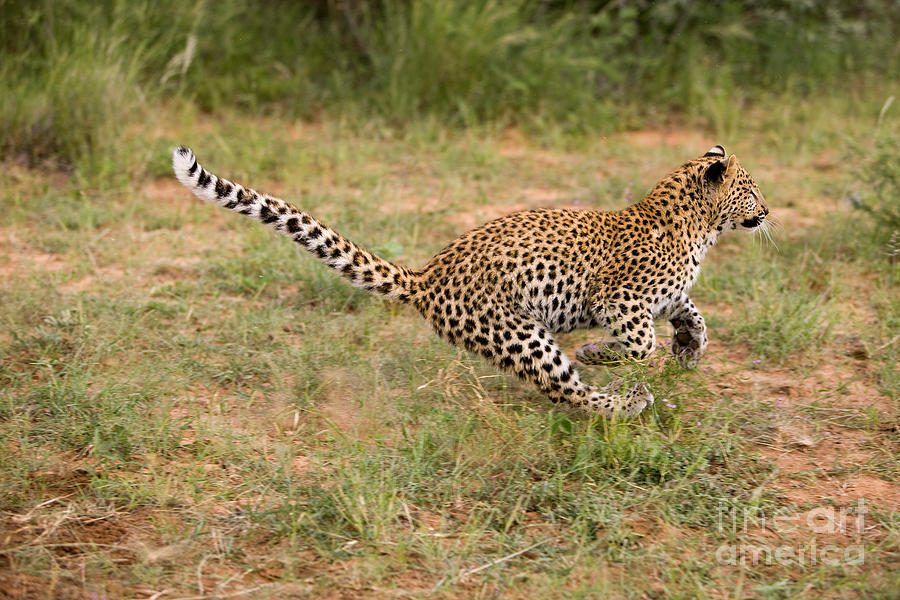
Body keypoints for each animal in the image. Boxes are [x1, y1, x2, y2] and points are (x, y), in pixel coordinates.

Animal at [174, 145, 768, 418]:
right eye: (752, 190)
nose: (768, 212)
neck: (700, 227)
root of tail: (426, 277)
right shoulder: (620, 300)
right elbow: (640, 346)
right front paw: (605, 355)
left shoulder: (662, 298)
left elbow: (693, 314)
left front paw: (689, 349)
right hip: (522, 335)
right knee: (568, 389)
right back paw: (622, 404)